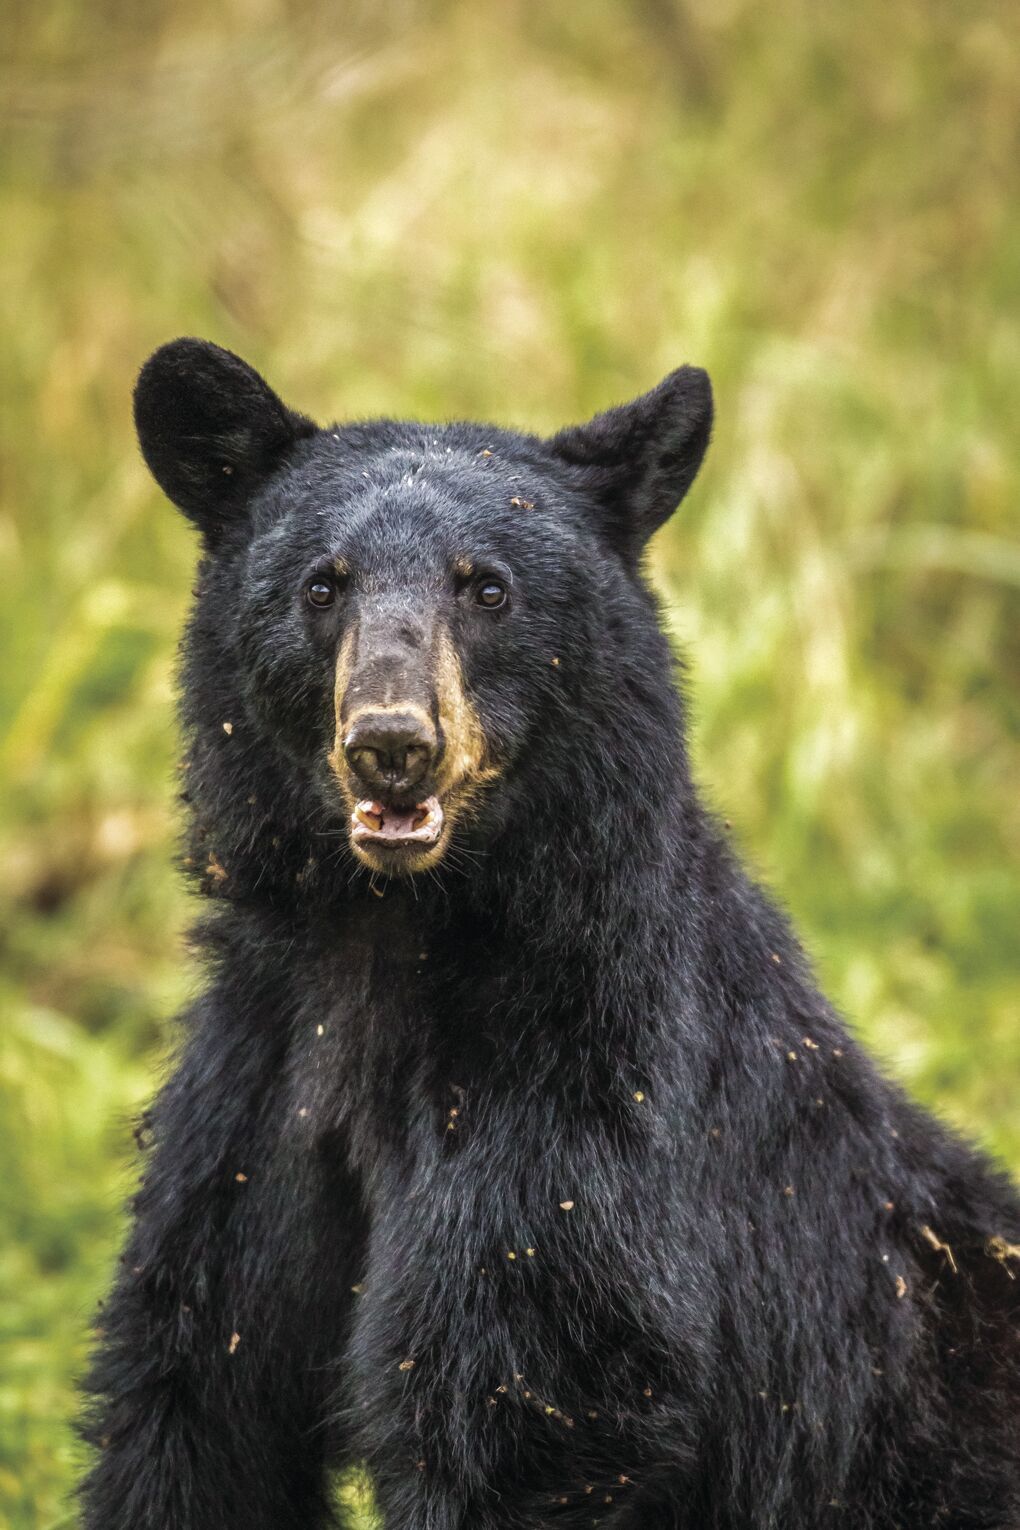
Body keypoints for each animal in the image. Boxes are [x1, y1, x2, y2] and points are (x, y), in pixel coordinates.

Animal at [80, 337, 1020, 1530]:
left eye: (488, 588)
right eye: (321, 585)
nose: (394, 745)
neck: (387, 942)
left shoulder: (575, 1100)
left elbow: (513, 1393)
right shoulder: (257, 1096)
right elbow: (196, 1400)